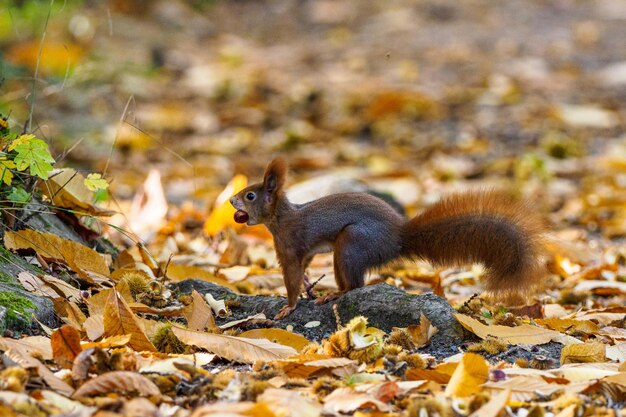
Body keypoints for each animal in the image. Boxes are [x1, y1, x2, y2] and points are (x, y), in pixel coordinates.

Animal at [228, 158, 540, 316]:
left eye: (250, 195)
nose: (231, 201)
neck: (280, 219)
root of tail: (397, 238)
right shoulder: (304, 252)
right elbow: (303, 270)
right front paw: (307, 290)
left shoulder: (290, 247)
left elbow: (292, 277)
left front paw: (289, 306)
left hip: (352, 244)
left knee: (355, 285)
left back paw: (335, 294)